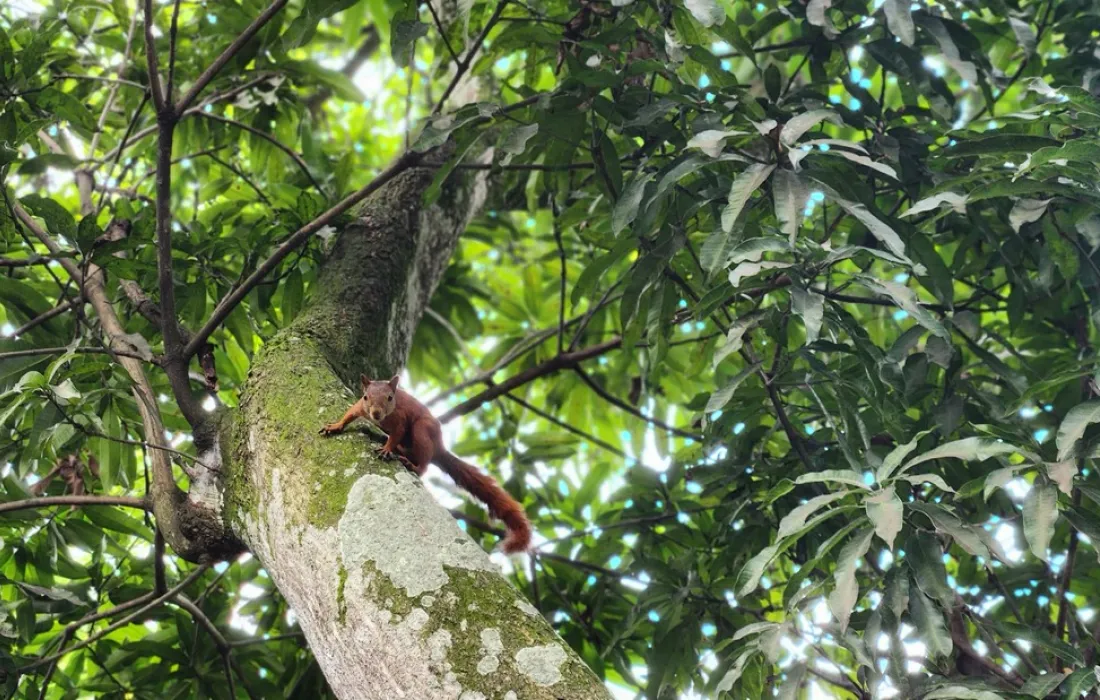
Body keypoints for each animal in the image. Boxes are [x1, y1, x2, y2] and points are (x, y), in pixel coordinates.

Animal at [319, 374, 532, 554]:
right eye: (365, 396)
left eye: (390, 398)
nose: (376, 414)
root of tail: (438, 447)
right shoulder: (360, 408)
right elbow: (349, 414)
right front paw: (335, 426)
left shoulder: (400, 419)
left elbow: (396, 433)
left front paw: (387, 448)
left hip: (422, 431)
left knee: (424, 463)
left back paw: (412, 464)